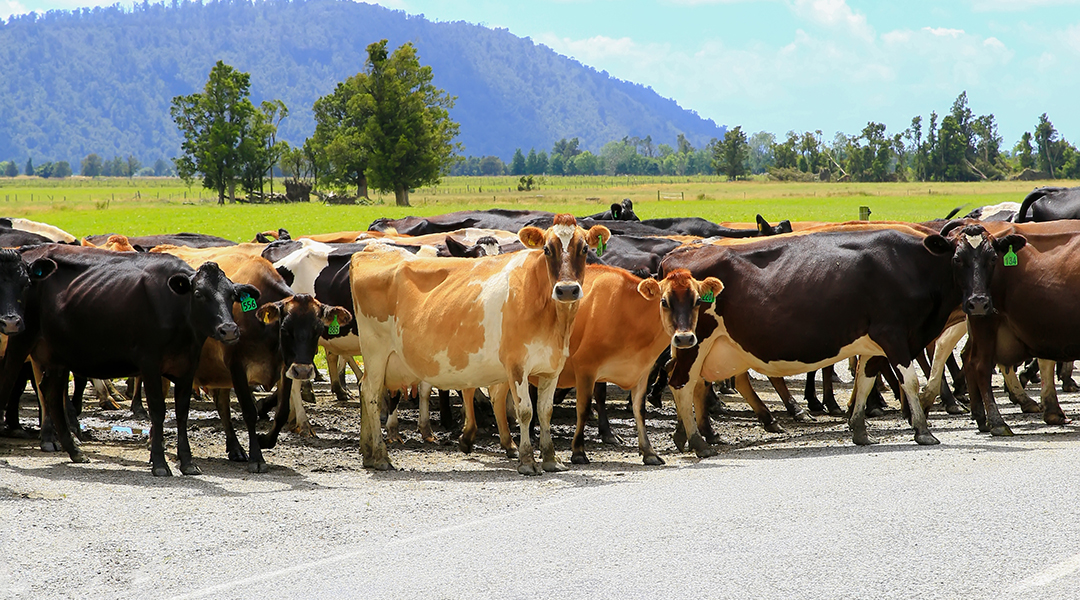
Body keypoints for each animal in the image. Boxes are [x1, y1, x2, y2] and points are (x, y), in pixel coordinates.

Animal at [0, 245, 254, 475]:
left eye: (232, 296)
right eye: (199, 294)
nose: (228, 330)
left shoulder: (188, 365)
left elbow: (182, 413)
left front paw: (188, 462)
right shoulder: (149, 363)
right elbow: (158, 410)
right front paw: (160, 464)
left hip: (58, 354)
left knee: (51, 393)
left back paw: (74, 451)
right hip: (21, 338)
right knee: (10, 382)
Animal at [350, 214, 610, 474]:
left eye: (584, 249)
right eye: (547, 249)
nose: (567, 290)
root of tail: (370, 252)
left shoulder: (551, 367)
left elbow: (545, 412)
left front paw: (550, 459)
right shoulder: (516, 365)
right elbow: (525, 411)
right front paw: (527, 460)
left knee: (365, 389)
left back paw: (367, 453)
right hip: (376, 351)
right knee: (371, 394)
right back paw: (380, 456)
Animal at [657, 221, 1013, 455]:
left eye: (993, 259)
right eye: (957, 258)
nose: (978, 302)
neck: (914, 265)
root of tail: (679, 255)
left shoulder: (873, 341)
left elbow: (865, 379)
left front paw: (859, 429)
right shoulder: (894, 334)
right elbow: (910, 380)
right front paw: (923, 431)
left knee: (692, 383)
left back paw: (685, 436)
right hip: (693, 341)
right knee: (680, 383)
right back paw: (699, 442)